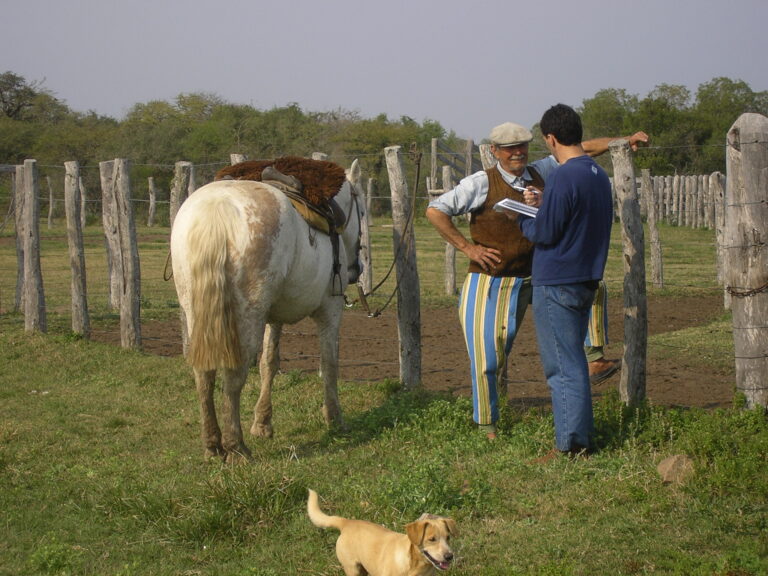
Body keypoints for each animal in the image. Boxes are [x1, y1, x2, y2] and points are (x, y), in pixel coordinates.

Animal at [172, 159, 364, 460]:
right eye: (363, 211)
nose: (357, 270)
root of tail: (217, 209)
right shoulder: (330, 310)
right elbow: (329, 363)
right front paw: (334, 418)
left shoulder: (274, 316)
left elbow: (269, 363)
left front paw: (262, 423)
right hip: (246, 316)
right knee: (234, 375)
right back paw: (236, 447)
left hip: (198, 313)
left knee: (203, 374)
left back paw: (213, 445)